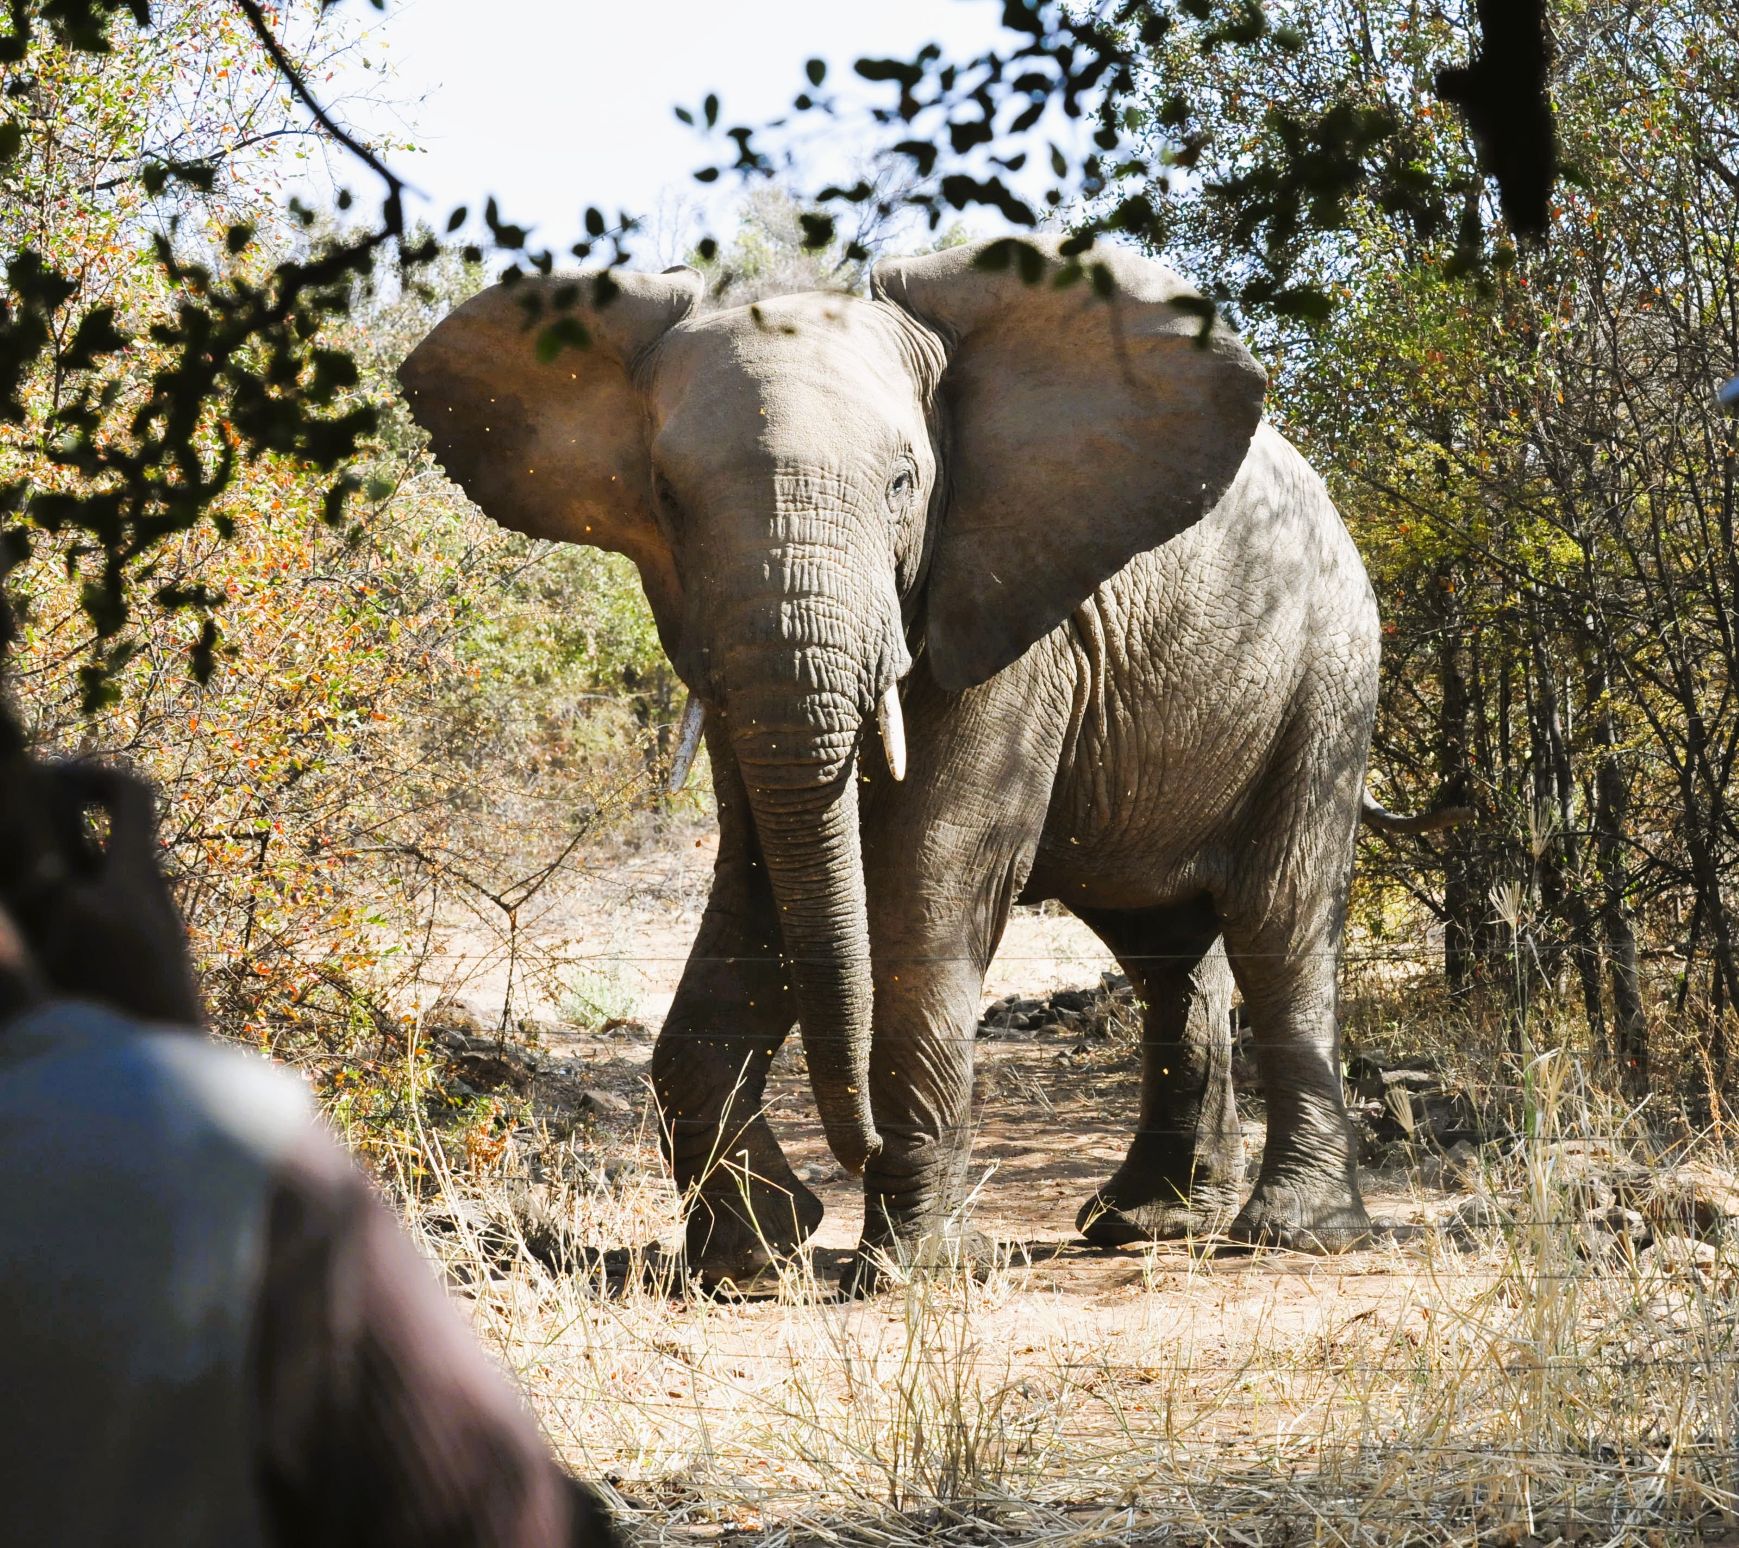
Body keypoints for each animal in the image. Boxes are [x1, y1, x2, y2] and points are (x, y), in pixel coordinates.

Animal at [399, 236, 1422, 1291]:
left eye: (902, 482)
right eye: (667, 496)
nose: (850, 1160)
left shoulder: (1016, 620)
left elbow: (926, 876)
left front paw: (908, 1269)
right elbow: (765, 882)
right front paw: (754, 1257)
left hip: (1328, 670)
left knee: (1277, 920)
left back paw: (1290, 1232)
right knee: (1163, 947)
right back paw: (1146, 1223)